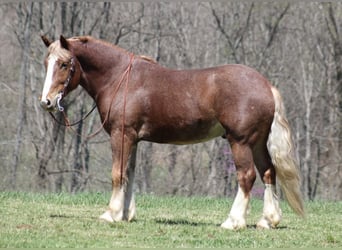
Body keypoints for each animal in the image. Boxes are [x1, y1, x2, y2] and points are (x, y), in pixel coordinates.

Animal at [40, 35, 304, 230]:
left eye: (64, 64)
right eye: (46, 63)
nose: (47, 102)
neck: (119, 79)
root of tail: (265, 85)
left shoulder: (121, 134)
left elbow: (117, 174)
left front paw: (111, 214)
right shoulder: (133, 139)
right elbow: (129, 174)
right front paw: (125, 214)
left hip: (240, 141)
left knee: (247, 176)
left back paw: (233, 221)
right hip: (257, 142)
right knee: (269, 172)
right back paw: (267, 220)